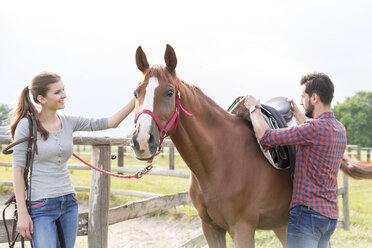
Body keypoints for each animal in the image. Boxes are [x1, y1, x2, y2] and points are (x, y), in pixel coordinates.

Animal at [130, 45, 372, 248]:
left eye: (170, 92)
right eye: (136, 93)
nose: (141, 141)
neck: (218, 160)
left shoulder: (242, 229)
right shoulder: (210, 228)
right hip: (282, 225)